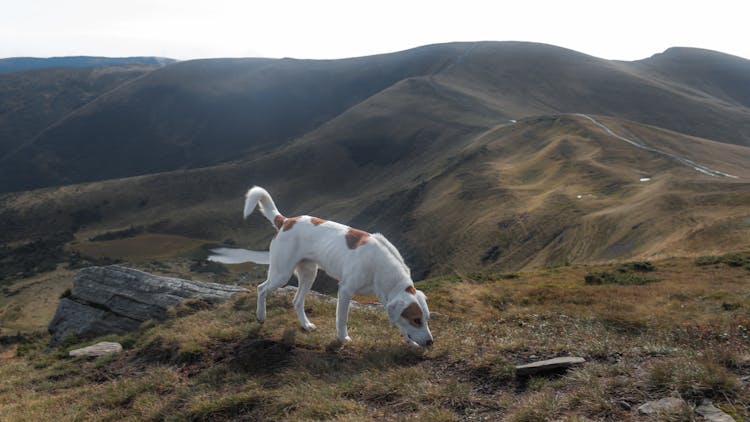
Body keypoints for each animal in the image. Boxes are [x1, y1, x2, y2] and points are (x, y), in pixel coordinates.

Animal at [244, 187, 434, 346]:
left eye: (426, 318)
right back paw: (261, 316)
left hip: (309, 274)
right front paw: (343, 338)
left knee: (297, 301)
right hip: (281, 273)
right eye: (416, 320)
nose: (430, 342)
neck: (381, 267)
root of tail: (286, 221)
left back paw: (305, 325)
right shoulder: (345, 290)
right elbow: (342, 319)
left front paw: (410, 342)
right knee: (261, 288)